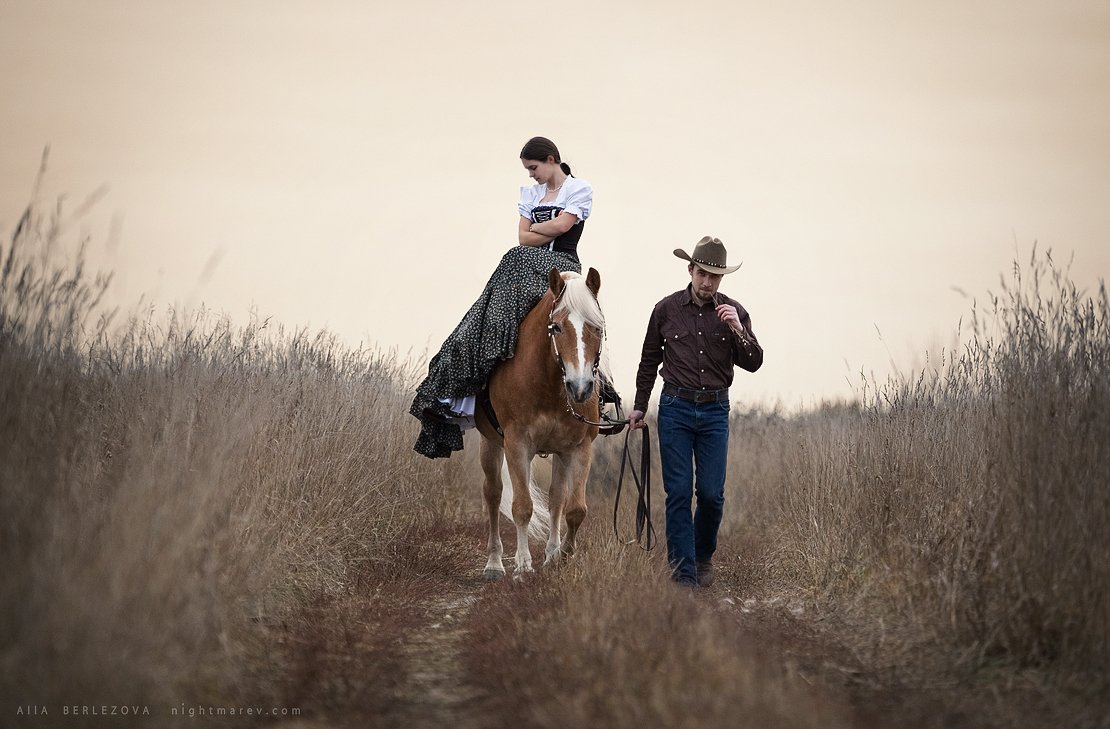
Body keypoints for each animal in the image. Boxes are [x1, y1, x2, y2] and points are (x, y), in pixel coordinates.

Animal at [470, 264, 603, 576]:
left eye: (597, 327)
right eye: (556, 327)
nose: (580, 388)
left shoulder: (579, 448)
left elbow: (574, 509)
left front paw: (563, 554)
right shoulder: (518, 445)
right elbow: (522, 507)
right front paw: (523, 565)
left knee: (556, 498)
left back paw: (552, 553)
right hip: (491, 444)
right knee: (493, 494)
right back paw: (494, 564)